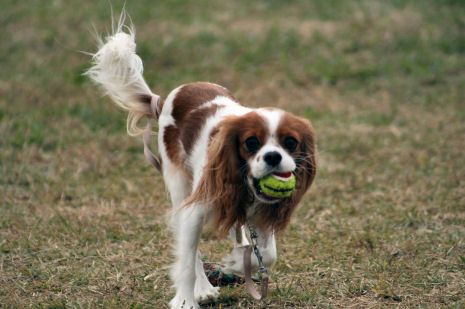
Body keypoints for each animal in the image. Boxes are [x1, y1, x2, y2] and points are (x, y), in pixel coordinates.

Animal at [86, 14, 316, 308]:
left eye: (291, 143)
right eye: (251, 142)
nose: (274, 157)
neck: (246, 188)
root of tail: (165, 99)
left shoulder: (260, 213)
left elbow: (267, 253)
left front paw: (238, 264)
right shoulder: (195, 209)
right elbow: (187, 258)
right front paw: (186, 300)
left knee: (237, 232)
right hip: (179, 184)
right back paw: (204, 288)